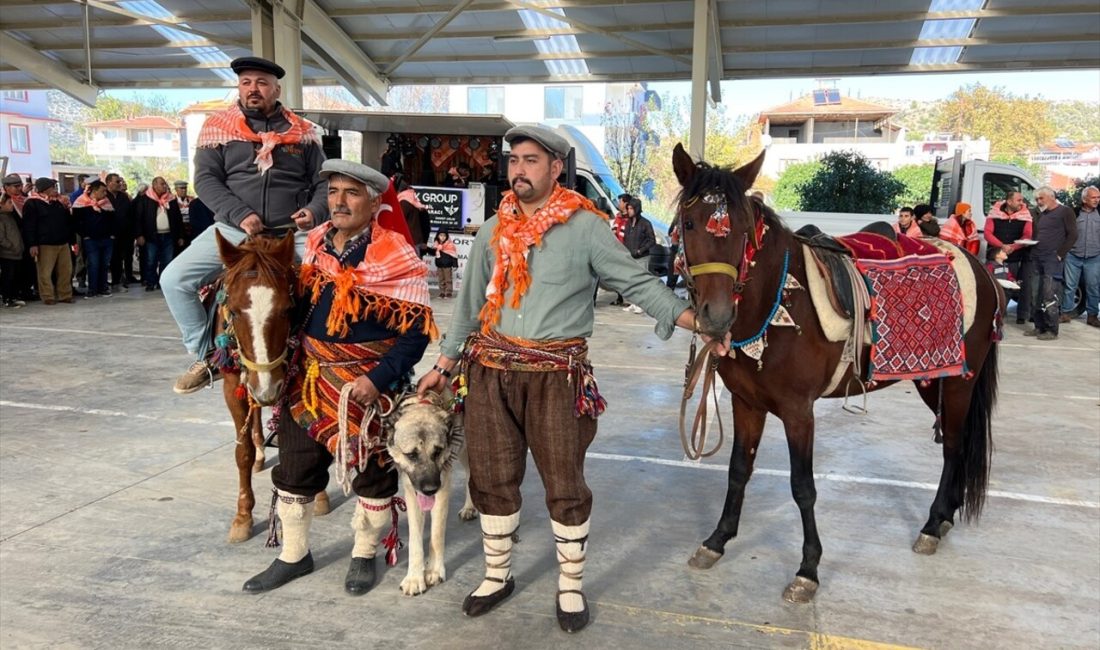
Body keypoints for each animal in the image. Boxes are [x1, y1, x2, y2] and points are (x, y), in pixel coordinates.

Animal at [212, 230, 327, 547]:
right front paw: (243, 517)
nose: (267, 388)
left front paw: (319, 495)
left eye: (287, 310)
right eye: (234, 311)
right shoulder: (233, 387)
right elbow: (242, 452)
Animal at [385, 391, 475, 593]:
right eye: (411, 455)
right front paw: (414, 578)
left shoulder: (442, 488)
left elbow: (436, 534)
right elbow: (415, 540)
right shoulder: (412, 494)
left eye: (437, 452)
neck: (422, 404)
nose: (430, 490)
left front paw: (434, 570)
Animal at [668, 145, 1007, 602]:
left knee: (953, 446)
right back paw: (947, 517)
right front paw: (717, 540)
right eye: (689, 224)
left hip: (958, 382)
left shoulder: (798, 412)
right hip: (932, 381)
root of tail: (983, 271)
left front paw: (808, 569)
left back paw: (933, 524)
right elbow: (739, 470)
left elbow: (802, 487)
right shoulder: (746, 403)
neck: (776, 302)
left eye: (741, 228)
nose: (716, 316)